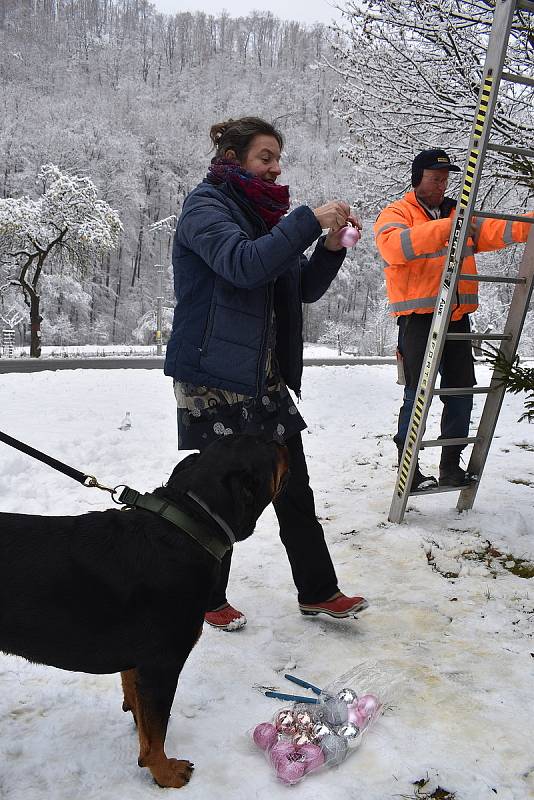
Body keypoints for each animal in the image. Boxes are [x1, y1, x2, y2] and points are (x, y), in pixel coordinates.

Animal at [0, 434, 288, 784]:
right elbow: (156, 731)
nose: (283, 439)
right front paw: (165, 771)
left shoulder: (139, 662)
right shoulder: (162, 662)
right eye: (267, 447)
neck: (189, 523)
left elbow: (142, 709)